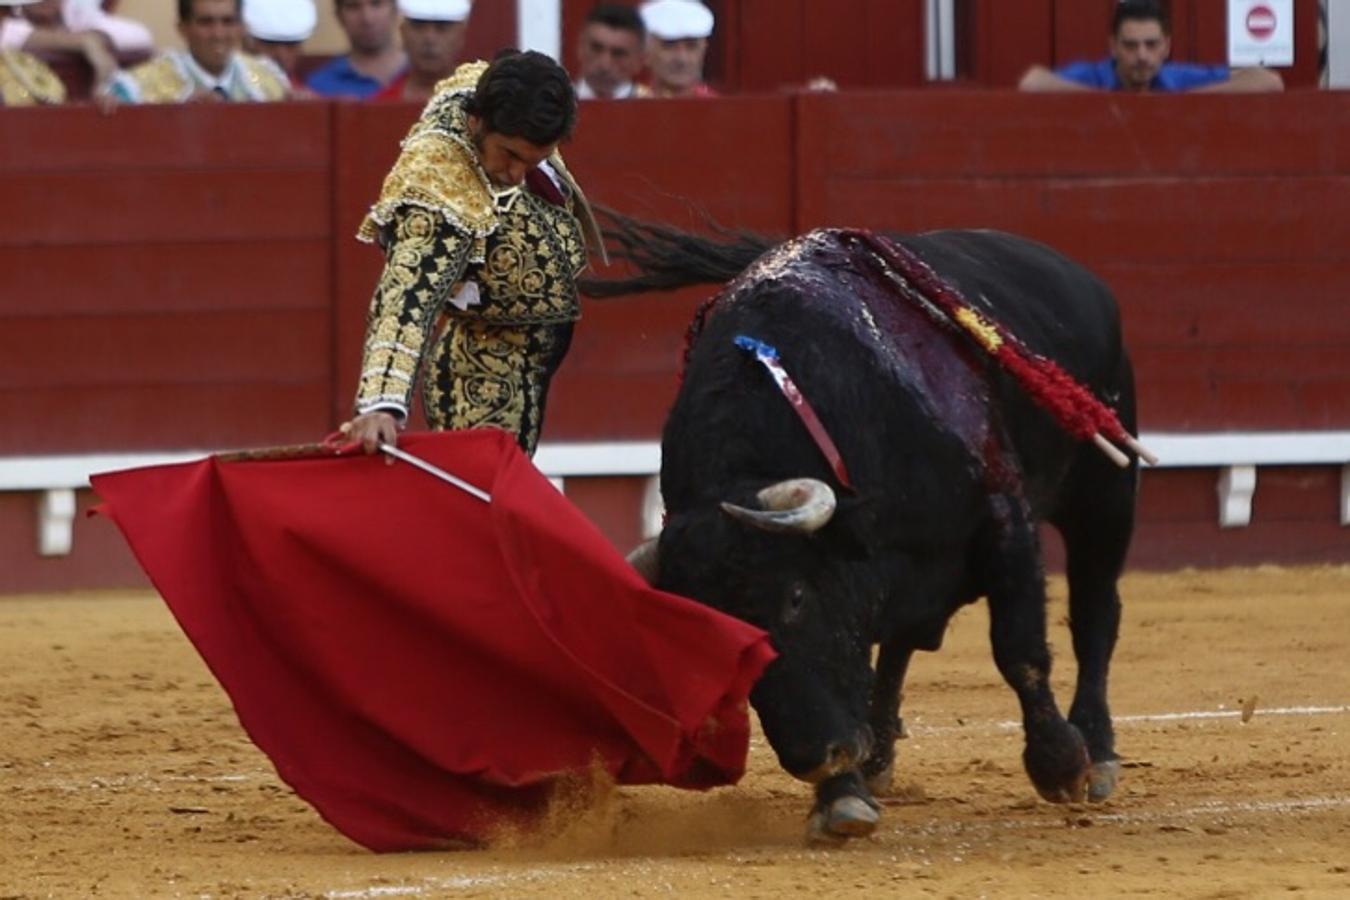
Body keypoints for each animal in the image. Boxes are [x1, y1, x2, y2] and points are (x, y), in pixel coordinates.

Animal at [583, 221, 1139, 841]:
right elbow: (861, 662)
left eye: (796, 597)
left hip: (1104, 495)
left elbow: (1018, 649)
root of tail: (1069, 271)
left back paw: (1099, 751)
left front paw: (1060, 765)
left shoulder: (1003, 515)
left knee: (1094, 614)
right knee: (901, 642)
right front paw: (842, 796)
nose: (814, 756)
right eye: (720, 636)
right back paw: (876, 760)